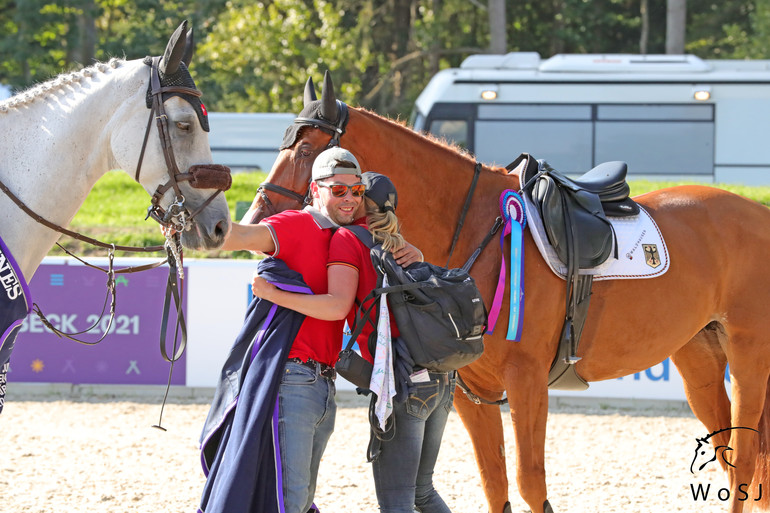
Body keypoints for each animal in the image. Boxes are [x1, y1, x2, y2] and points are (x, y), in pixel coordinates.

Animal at [243, 73, 768, 512]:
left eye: (307, 152)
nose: (255, 221)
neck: (477, 230)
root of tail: (757, 213)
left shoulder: (527, 381)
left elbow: (530, 483)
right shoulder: (474, 393)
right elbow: (495, 484)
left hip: (748, 354)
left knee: (744, 460)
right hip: (698, 356)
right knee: (731, 453)